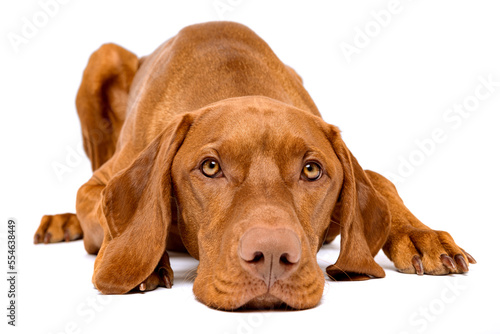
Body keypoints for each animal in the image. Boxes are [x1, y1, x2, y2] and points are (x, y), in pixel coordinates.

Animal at [33, 21, 474, 310]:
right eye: (210, 167)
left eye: (312, 170)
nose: (273, 256)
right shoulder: (100, 184)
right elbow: (100, 208)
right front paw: (146, 259)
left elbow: (380, 180)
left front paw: (420, 234)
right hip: (103, 57)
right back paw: (63, 221)